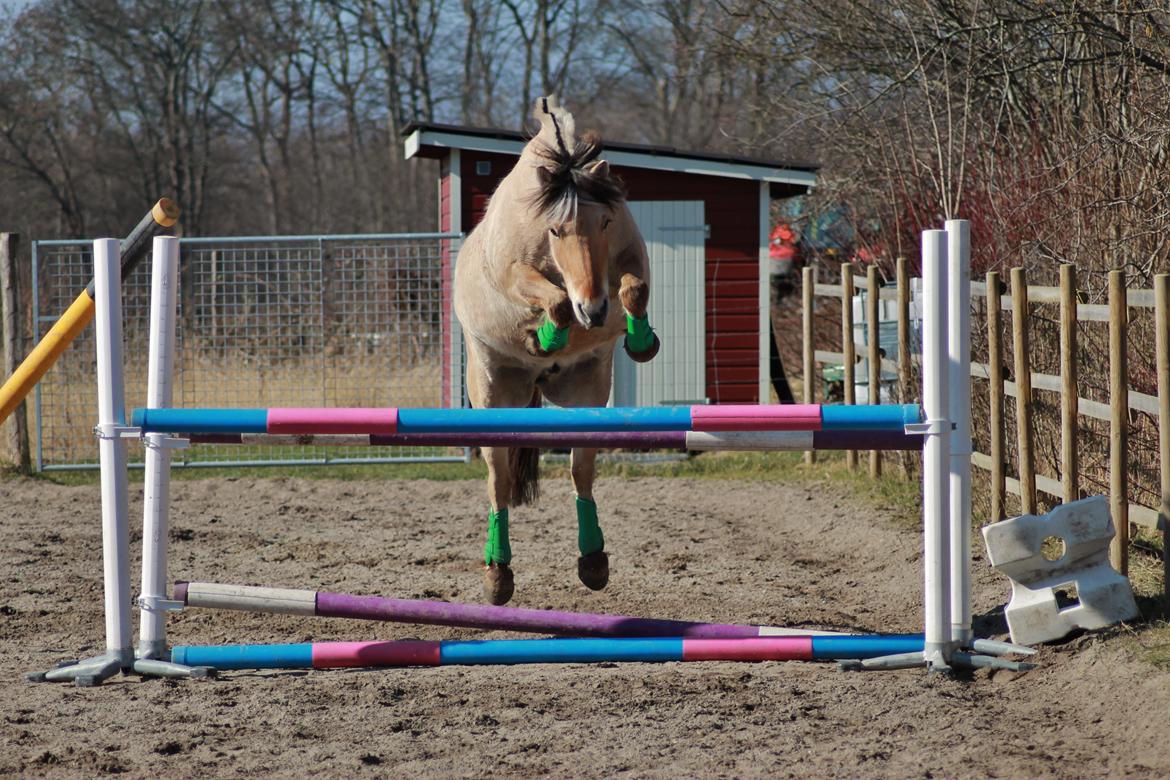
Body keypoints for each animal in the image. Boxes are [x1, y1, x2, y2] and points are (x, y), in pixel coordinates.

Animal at [453, 95, 664, 603]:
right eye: (554, 230)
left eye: (604, 221)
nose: (595, 308)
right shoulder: (516, 274)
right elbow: (554, 301)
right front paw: (545, 335)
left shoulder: (629, 253)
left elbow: (634, 289)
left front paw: (641, 341)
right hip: (494, 396)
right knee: (499, 481)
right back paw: (498, 574)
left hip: (585, 391)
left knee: (580, 472)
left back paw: (593, 561)